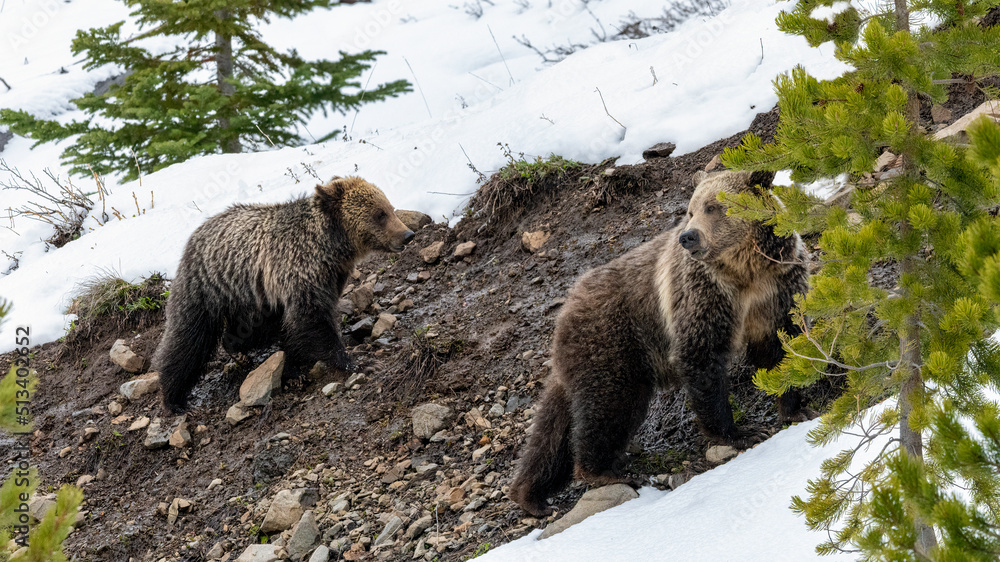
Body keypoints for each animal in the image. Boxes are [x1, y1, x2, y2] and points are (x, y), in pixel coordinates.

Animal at [153, 176, 415, 414]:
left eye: (390, 208)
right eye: (380, 213)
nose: (408, 234)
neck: (330, 247)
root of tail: (198, 231)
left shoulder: (328, 278)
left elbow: (296, 328)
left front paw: (293, 369)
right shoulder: (300, 270)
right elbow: (313, 321)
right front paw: (356, 362)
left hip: (254, 296)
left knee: (253, 328)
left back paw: (235, 347)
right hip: (207, 286)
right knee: (188, 338)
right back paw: (174, 399)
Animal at [509, 170, 811, 516]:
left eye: (712, 207)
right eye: (691, 210)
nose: (688, 237)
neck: (745, 272)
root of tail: (567, 306)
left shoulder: (777, 289)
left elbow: (783, 347)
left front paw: (794, 408)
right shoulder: (704, 297)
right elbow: (702, 359)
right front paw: (740, 432)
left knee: (553, 426)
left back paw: (531, 495)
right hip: (614, 343)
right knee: (611, 404)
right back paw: (603, 471)